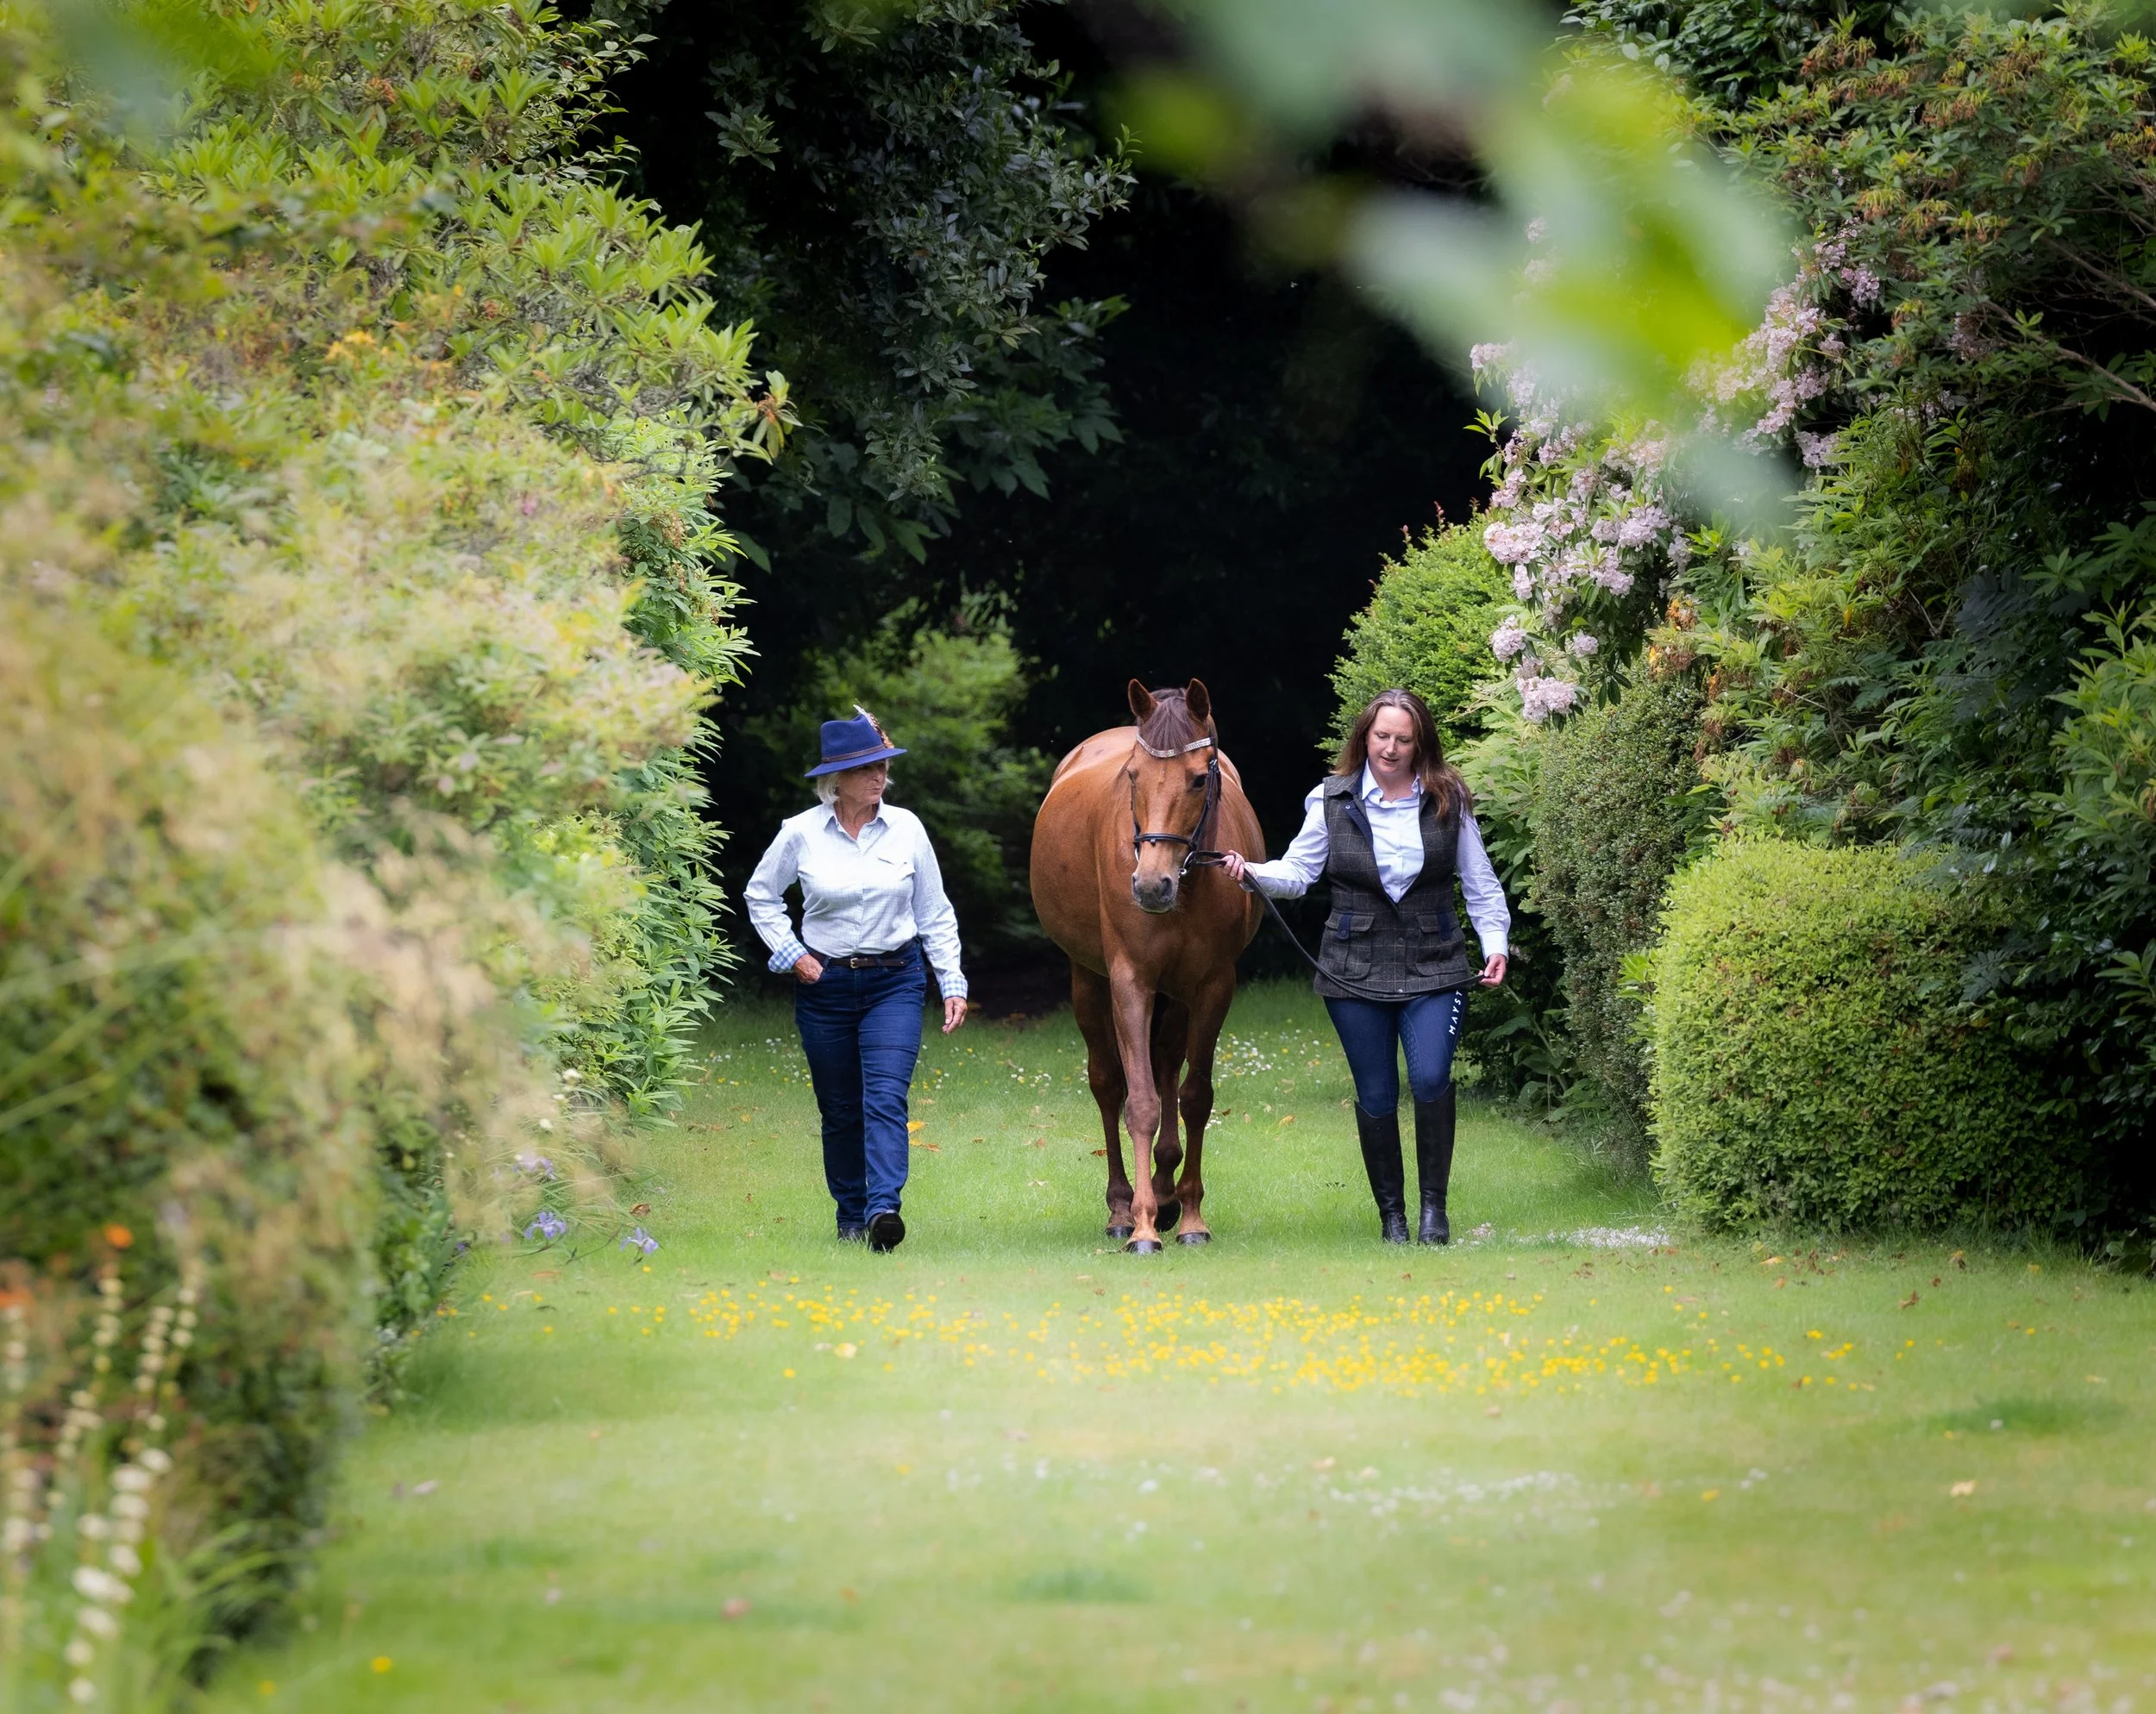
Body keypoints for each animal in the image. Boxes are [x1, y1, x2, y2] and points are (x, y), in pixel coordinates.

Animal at [1030, 680, 1265, 1252]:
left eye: (1200, 777)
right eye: (1133, 775)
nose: (1151, 885)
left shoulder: (1212, 987)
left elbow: (1193, 1097)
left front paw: (1190, 1215)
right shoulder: (1130, 980)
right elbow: (1138, 1102)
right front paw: (1140, 1226)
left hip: (1175, 998)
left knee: (1166, 1067)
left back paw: (1165, 1192)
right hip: (1088, 980)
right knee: (1108, 1083)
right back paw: (1122, 1206)